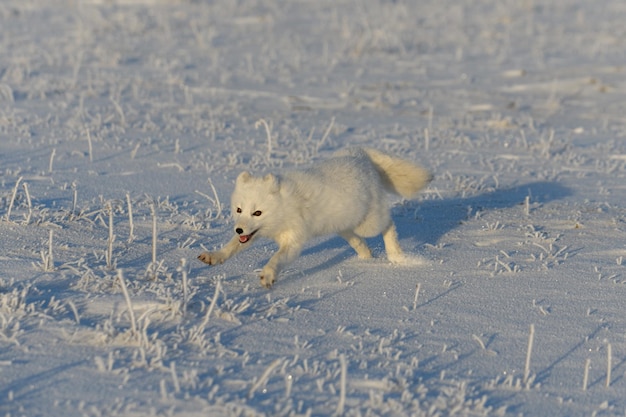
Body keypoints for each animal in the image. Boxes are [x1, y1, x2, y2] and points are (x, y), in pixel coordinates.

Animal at [197, 148, 432, 288]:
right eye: (239, 210)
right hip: (343, 224)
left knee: (388, 224)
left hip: (368, 223)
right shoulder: (251, 235)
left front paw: (268, 275)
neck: (283, 206)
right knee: (356, 240)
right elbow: (231, 247)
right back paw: (365, 256)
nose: (238, 229)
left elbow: (277, 258)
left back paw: (395, 255)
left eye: (257, 212)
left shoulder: (293, 241)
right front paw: (214, 256)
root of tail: (359, 153)